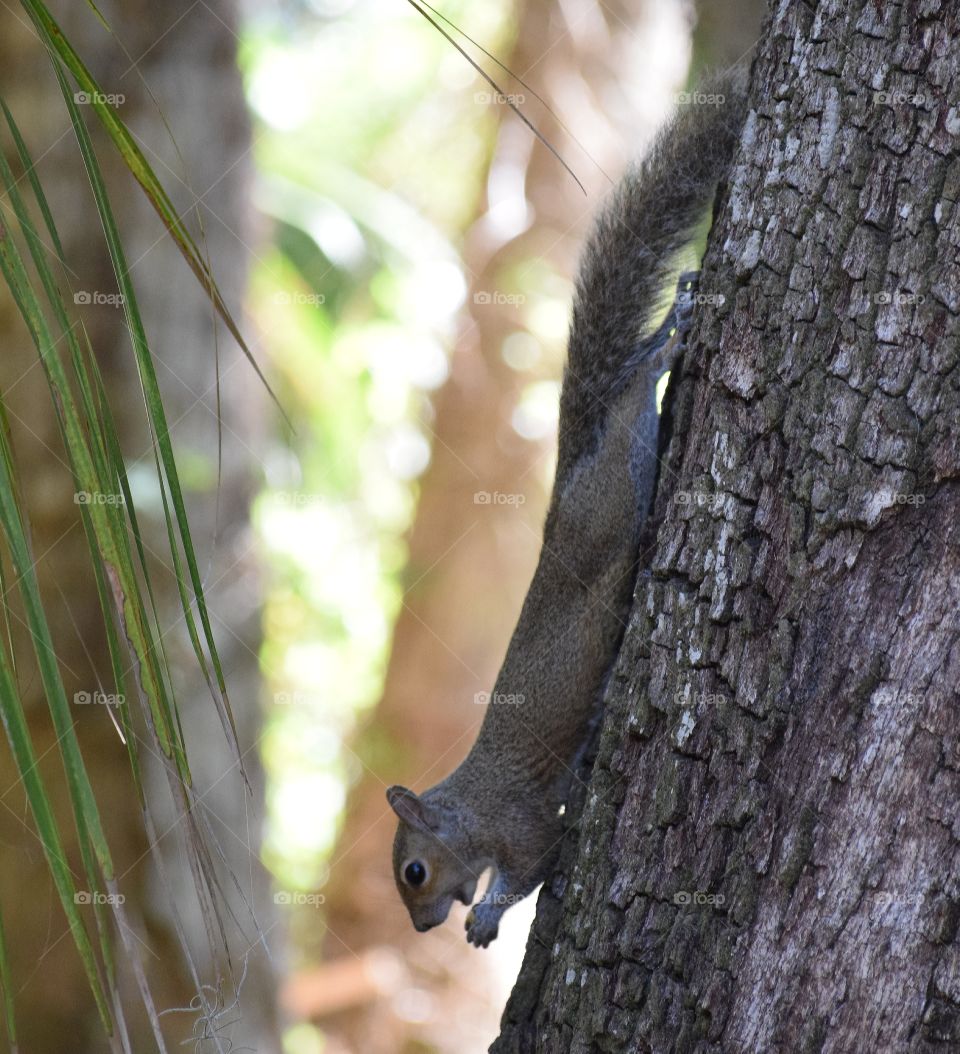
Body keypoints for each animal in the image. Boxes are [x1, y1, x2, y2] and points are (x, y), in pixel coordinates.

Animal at [385, 72, 746, 948]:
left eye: (414, 873)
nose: (422, 930)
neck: (470, 809)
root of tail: (566, 487)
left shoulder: (523, 827)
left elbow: (533, 870)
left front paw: (485, 915)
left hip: (609, 501)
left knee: (630, 402)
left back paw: (664, 343)